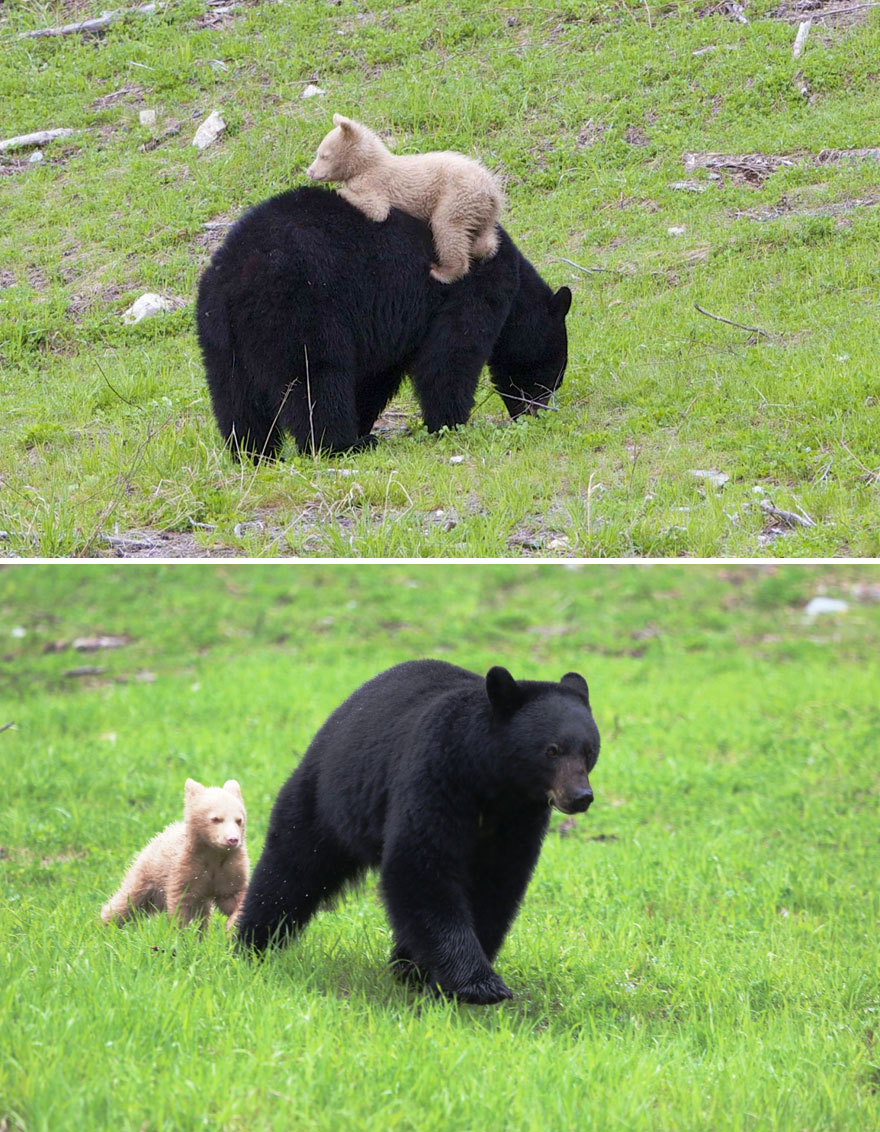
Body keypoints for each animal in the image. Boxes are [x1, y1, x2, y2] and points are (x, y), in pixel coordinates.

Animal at [101, 778, 249, 931]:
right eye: (216, 818)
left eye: (239, 820)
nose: (232, 839)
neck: (213, 854)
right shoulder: (186, 868)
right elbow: (182, 903)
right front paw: (184, 932)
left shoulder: (229, 869)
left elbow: (232, 896)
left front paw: (233, 923)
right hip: (146, 873)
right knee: (128, 900)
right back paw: (105, 925)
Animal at [196, 186, 572, 460]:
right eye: (552, 374)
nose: (537, 412)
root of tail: (236, 278)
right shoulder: (469, 292)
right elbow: (450, 358)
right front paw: (452, 424)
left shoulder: (391, 330)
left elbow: (375, 378)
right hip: (299, 311)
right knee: (316, 380)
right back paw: (342, 446)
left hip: (219, 336)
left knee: (235, 395)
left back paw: (252, 453)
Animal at [236, 660, 599, 1004]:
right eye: (552, 750)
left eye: (589, 751)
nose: (580, 796)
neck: (493, 785)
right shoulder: (436, 775)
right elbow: (421, 864)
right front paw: (477, 983)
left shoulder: (520, 818)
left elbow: (498, 881)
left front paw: (439, 972)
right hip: (329, 798)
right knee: (291, 867)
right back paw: (252, 942)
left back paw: (405, 964)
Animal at [305, 114, 505, 284]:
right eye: (318, 152)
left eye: (323, 155)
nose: (310, 171)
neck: (367, 164)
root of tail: (491, 190)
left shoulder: (375, 182)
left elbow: (377, 209)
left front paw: (342, 191)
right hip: (481, 211)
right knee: (486, 239)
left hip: (456, 197)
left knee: (447, 227)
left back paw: (442, 272)